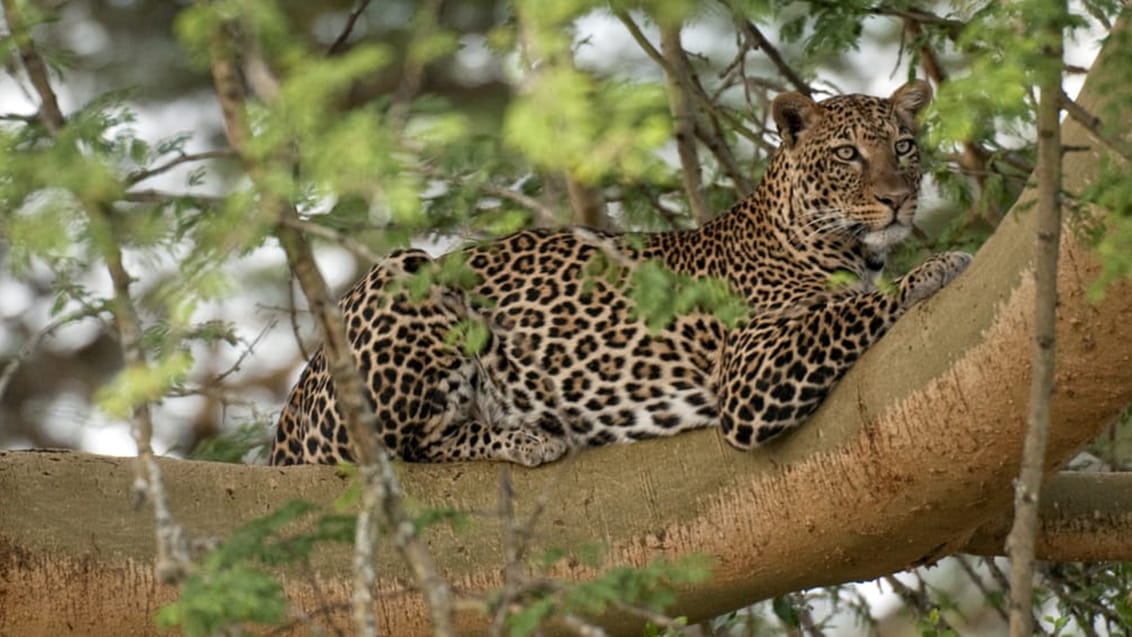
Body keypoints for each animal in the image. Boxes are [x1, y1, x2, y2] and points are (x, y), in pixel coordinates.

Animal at [270, 79, 971, 468]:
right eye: (847, 153)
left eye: (904, 146)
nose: (897, 200)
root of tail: (286, 421)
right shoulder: (751, 370)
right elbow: (849, 312)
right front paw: (935, 268)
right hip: (405, 273)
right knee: (402, 448)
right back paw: (527, 438)